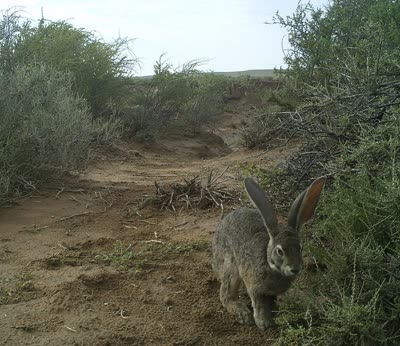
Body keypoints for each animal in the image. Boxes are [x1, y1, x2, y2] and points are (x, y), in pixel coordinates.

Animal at [212, 177, 324, 328]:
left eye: (300, 247)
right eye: (279, 251)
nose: (295, 269)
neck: (271, 266)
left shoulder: (273, 294)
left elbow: (272, 303)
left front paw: (274, 317)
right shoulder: (255, 287)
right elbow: (259, 304)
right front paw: (264, 323)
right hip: (230, 266)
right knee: (225, 294)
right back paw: (242, 313)